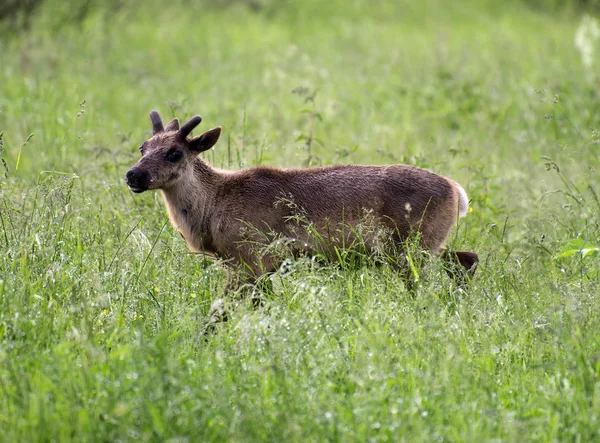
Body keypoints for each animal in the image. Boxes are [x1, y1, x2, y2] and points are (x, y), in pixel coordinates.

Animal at [125, 110, 478, 324]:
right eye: (143, 147)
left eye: (175, 153)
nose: (133, 175)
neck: (212, 207)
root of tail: (456, 190)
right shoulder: (251, 265)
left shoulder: (251, 258)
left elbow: (222, 314)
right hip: (420, 246)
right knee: (466, 258)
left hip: (412, 248)